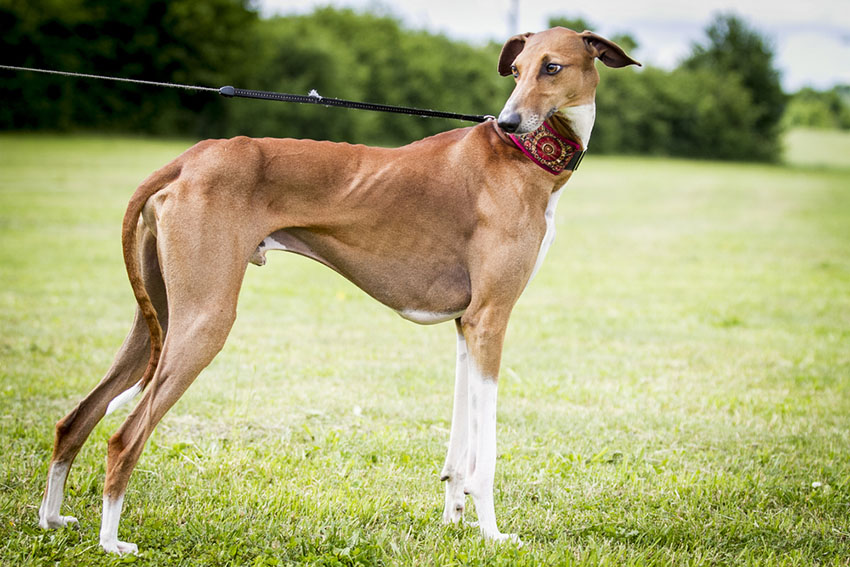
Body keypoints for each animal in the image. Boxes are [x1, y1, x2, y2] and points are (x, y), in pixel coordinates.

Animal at [38, 27, 636, 556]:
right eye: (516, 71)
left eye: (551, 67)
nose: (509, 122)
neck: (523, 159)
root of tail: (187, 158)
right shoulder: (492, 318)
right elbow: (483, 455)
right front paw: (491, 534)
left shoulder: (467, 326)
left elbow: (459, 447)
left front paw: (454, 523)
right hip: (203, 319)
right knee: (124, 436)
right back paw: (111, 541)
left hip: (155, 321)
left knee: (76, 419)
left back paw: (52, 519)